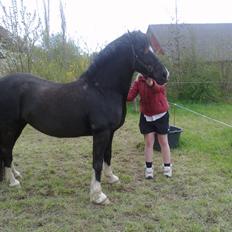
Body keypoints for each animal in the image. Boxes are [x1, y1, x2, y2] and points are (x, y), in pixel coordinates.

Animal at [0, 30, 168, 203]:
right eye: (144, 50)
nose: (165, 74)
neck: (103, 90)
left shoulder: (110, 132)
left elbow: (108, 155)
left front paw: (111, 178)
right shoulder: (101, 133)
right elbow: (97, 161)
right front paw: (98, 195)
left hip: (18, 125)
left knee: (8, 149)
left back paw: (15, 175)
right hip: (10, 126)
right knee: (6, 149)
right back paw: (13, 182)